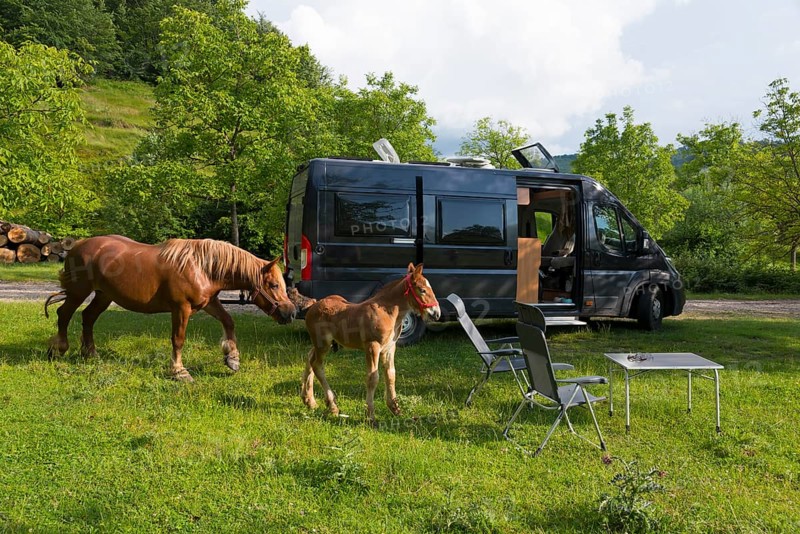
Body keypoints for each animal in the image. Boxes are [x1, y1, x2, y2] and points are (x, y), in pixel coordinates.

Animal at [44, 235, 296, 382]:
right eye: (274, 285)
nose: (291, 312)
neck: (202, 267)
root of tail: (77, 246)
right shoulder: (181, 309)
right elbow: (178, 339)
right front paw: (179, 371)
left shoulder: (209, 303)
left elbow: (228, 321)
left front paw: (232, 358)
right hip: (79, 292)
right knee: (64, 314)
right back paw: (59, 349)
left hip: (104, 295)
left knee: (87, 317)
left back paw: (90, 353)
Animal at [301, 263, 441, 423]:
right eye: (422, 290)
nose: (436, 313)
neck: (388, 313)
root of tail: (312, 306)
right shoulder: (372, 346)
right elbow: (373, 378)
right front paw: (370, 415)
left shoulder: (389, 348)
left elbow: (391, 374)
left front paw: (395, 408)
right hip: (322, 343)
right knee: (317, 365)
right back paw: (332, 406)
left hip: (323, 343)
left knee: (309, 357)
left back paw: (309, 400)